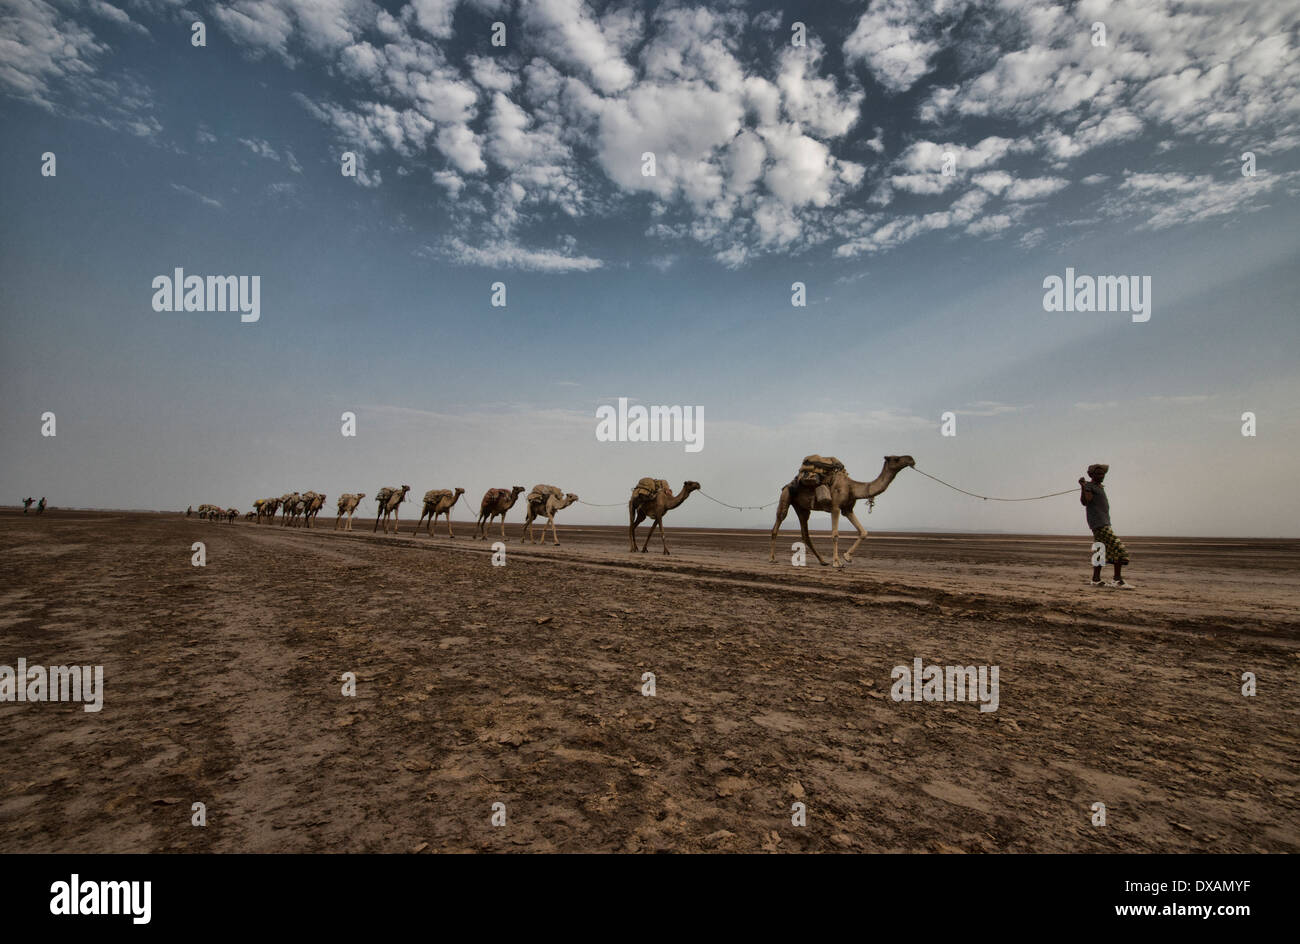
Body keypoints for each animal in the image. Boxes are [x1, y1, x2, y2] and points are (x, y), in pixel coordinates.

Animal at [759, 452, 915, 566]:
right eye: (896, 458)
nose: (911, 459)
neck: (852, 487)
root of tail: (788, 484)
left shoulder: (848, 509)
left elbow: (863, 532)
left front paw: (847, 557)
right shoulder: (836, 507)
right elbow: (835, 535)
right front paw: (837, 562)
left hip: (802, 508)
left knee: (805, 534)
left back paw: (823, 561)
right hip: (785, 497)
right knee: (777, 523)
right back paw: (772, 558)